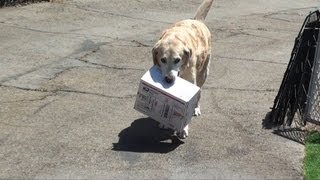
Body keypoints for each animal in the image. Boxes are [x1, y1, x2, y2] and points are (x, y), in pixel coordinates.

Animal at [152, 0, 214, 139]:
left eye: (177, 60)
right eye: (163, 60)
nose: (169, 79)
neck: (175, 37)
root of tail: (197, 20)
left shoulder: (190, 79)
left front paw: (184, 129)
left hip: (203, 73)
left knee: (199, 92)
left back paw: (196, 108)